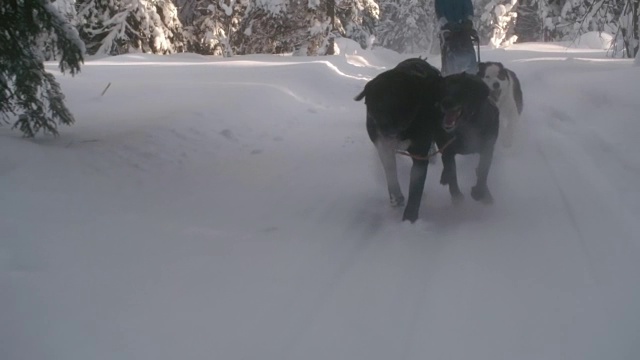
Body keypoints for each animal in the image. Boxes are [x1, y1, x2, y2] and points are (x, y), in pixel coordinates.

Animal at [352, 58, 442, 222]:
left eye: (398, 102)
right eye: (375, 106)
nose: (385, 127)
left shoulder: (419, 154)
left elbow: (416, 187)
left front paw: (410, 218)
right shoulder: (383, 147)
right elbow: (390, 172)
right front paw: (396, 197)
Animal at [436, 72, 500, 205]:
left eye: (462, 89)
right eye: (444, 88)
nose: (446, 102)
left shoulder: (488, 149)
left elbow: (483, 171)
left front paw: (479, 192)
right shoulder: (448, 149)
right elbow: (451, 171)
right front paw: (456, 196)